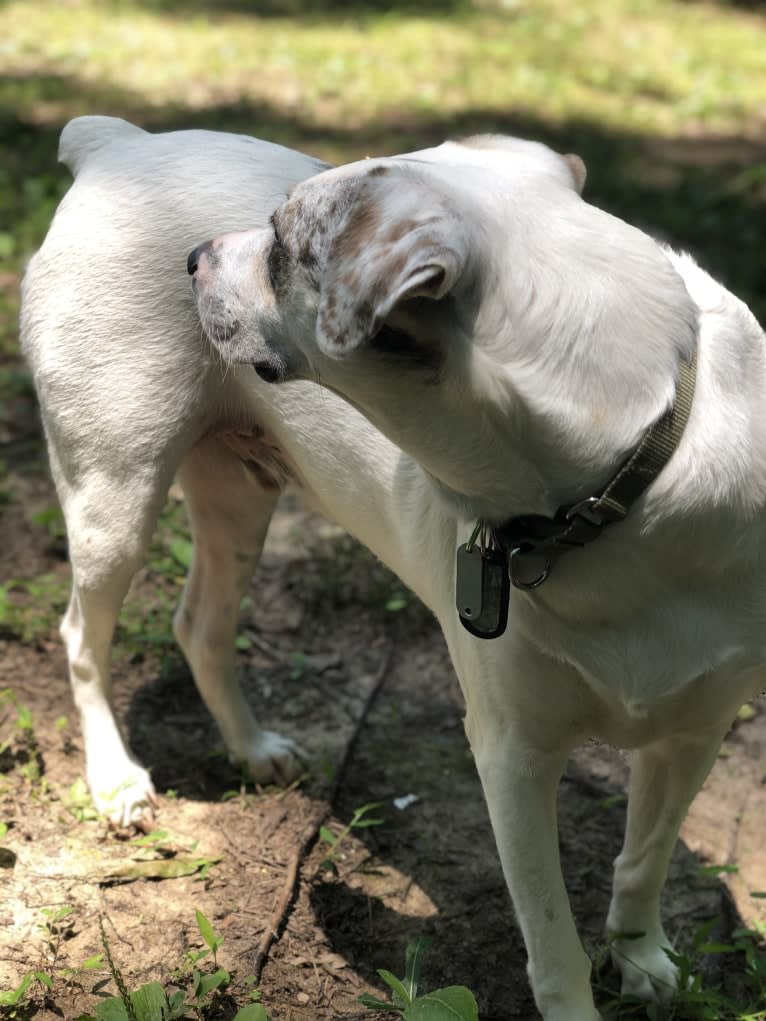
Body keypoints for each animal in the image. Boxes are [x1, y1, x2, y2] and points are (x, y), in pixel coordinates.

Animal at [20, 119, 763, 1021]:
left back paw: (251, 746)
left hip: (235, 503)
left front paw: (644, 955)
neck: (629, 477)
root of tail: (115, 143)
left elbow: (643, 861)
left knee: (199, 625)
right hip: (114, 498)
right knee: (81, 637)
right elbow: (554, 943)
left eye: (282, 241)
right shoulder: (512, 755)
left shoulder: (696, 729)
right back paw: (115, 779)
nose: (193, 258)